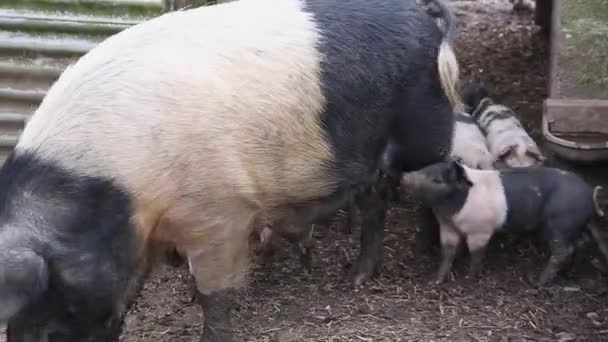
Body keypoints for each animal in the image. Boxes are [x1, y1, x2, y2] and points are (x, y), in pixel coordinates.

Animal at [0, 0, 460, 340]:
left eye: (51, 290)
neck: (119, 192)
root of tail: (423, 15)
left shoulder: (220, 212)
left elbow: (215, 295)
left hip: (425, 131)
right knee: (374, 199)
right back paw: (357, 278)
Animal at [400, 160, 608, 286]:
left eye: (437, 180)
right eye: (425, 168)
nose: (404, 176)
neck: (450, 212)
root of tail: (588, 194)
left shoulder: (480, 230)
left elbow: (477, 253)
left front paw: (468, 279)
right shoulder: (447, 228)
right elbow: (447, 252)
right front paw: (435, 280)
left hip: (561, 223)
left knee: (563, 250)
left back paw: (538, 283)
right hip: (574, 226)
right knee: (580, 244)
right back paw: (567, 274)